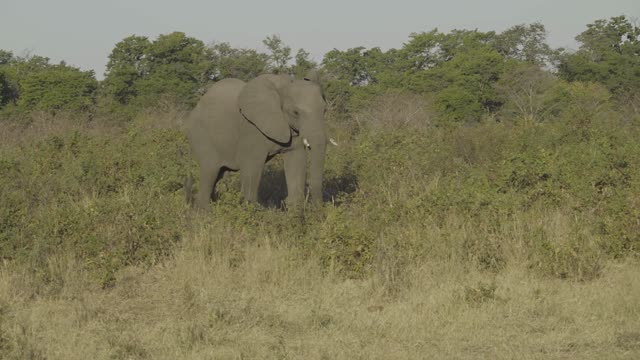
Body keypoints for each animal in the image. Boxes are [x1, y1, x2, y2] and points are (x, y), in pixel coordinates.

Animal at [185, 71, 332, 210]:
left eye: (325, 110)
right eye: (295, 112)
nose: (318, 209)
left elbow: (296, 159)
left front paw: (295, 212)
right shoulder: (252, 127)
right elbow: (252, 165)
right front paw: (250, 212)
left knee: (219, 174)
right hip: (201, 135)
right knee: (209, 172)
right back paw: (204, 212)